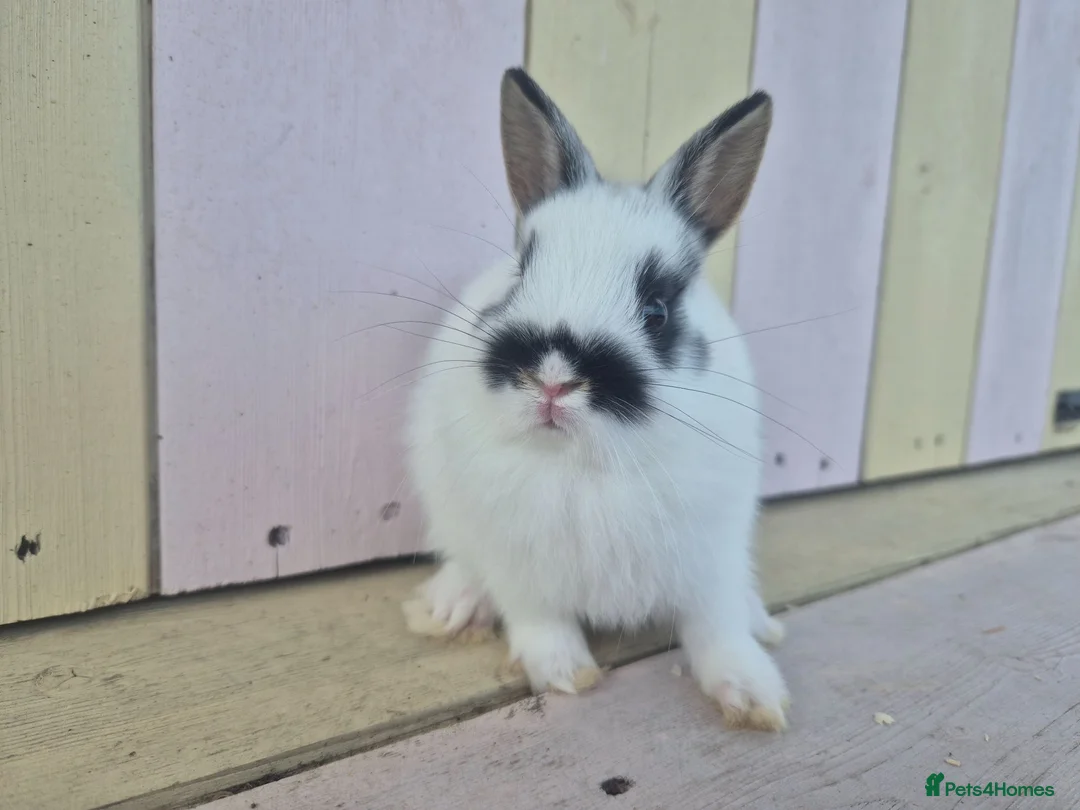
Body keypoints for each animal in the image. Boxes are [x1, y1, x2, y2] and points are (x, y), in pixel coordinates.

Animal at [400, 66, 788, 731]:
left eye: (657, 310)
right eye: (520, 275)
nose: (553, 378)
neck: (584, 465)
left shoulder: (708, 553)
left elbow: (716, 627)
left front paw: (756, 696)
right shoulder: (518, 563)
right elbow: (539, 621)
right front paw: (565, 673)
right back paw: (452, 605)